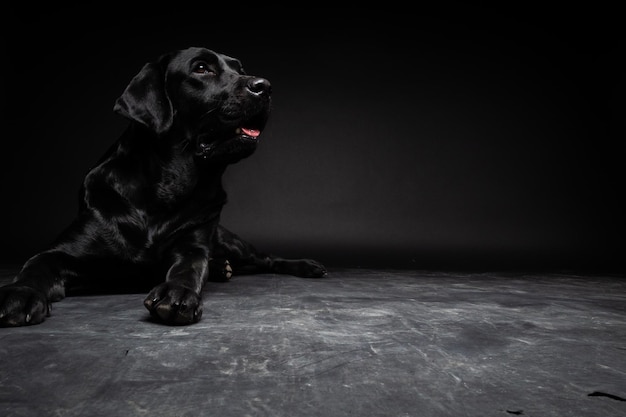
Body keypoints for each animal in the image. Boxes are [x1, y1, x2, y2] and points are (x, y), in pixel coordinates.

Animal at [0, 45, 330, 324]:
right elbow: (35, 266)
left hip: (231, 242)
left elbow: (190, 267)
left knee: (268, 258)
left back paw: (305, 265)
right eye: (201, 68)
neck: (166, 188)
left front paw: (178, 292)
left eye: (240, 68)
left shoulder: (192, 246)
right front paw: (20, 295)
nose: (265, 86)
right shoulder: (61, 251)